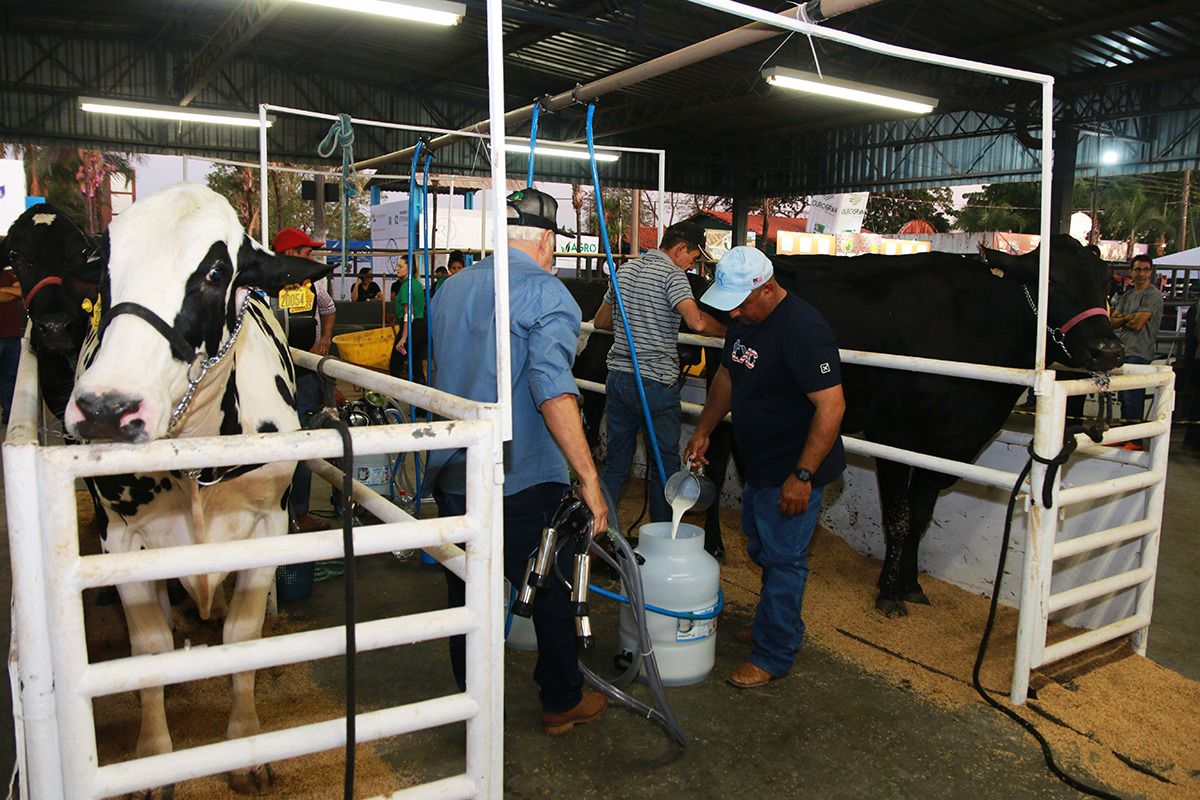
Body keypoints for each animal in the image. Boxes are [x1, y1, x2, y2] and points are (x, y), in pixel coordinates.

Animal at [63, 184, 331, 796]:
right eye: (104, 269)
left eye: (215, 272)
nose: (107, 408)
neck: (196, 459)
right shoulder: (121, 538)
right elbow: (150, 649)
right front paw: (152, 759)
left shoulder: (268, 525)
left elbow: (241, 635)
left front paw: (246, 745)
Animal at [768, 235, 1123, 618]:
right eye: (1051, 281)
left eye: (1108, 282)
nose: (1108, 350)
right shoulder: (892, 434)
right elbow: (899, 517)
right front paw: (889, 593)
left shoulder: (945, 446)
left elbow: (920, 518)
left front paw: (910, 585)